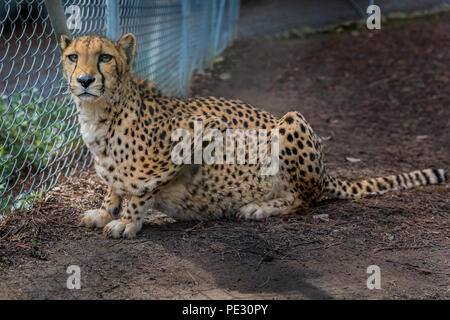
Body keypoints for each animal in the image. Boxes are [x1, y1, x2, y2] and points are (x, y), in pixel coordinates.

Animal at [59, 33, 446, 239]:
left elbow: (143, 185)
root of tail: (327, 173)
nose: (85, 80)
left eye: (105, 57)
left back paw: (258, 207)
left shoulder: (204, 127)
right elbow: (115, 184)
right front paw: (106, 211)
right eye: (73, 56)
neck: (99, 115)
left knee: (305, 198)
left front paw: (127, 221)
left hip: (290, 121)